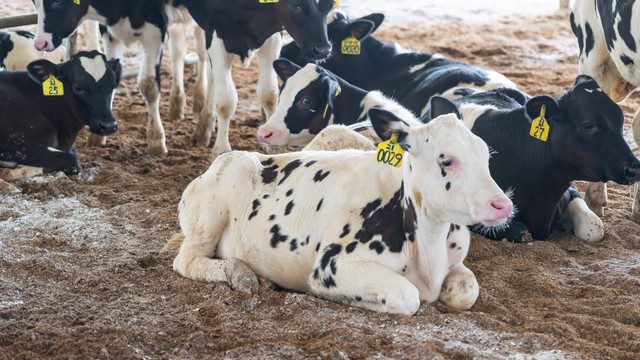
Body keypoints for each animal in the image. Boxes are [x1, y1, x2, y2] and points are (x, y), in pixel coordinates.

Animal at [172, 97, 512, 314]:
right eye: (446, 160)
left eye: (486, 154)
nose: (503, 205)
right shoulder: (332, 265)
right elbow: (407, 296)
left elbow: (467, 291)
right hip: (211, 211)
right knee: (187, 261)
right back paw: (240, 274)